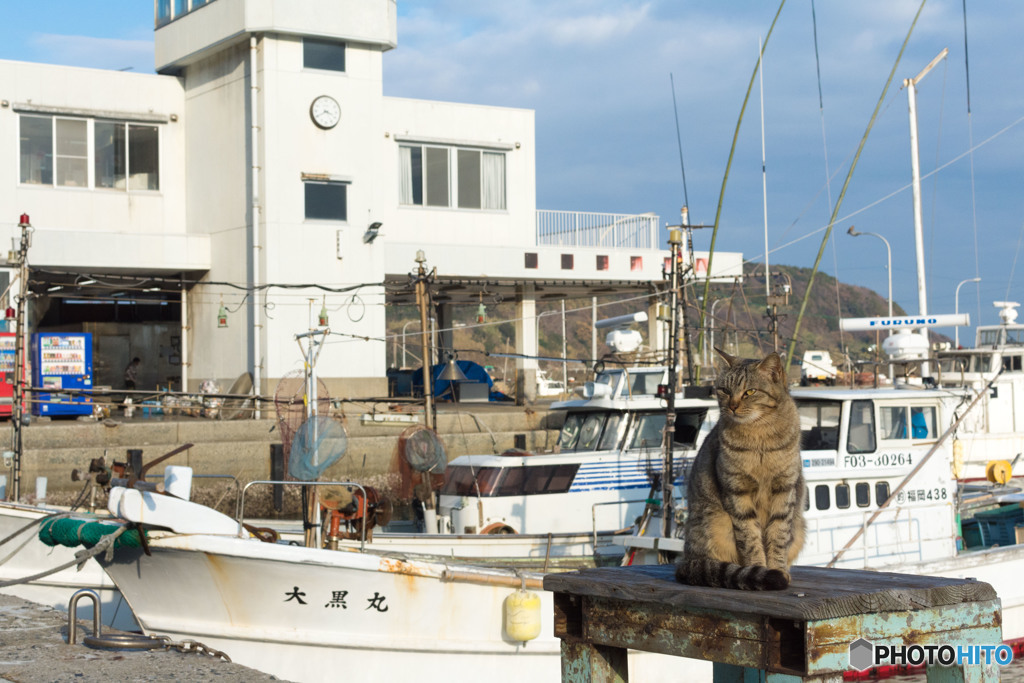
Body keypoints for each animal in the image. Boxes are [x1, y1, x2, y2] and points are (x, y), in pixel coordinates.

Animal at [671, 350, 806, 589]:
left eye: (749, 392)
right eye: (724, 390)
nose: (732, 406)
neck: (759, 436)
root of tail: (686, 561)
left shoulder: (784, 489)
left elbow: (778, 536)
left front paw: (778, 569)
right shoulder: (737, 492)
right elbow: (750, 539)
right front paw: (762, 570)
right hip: (713, 523)